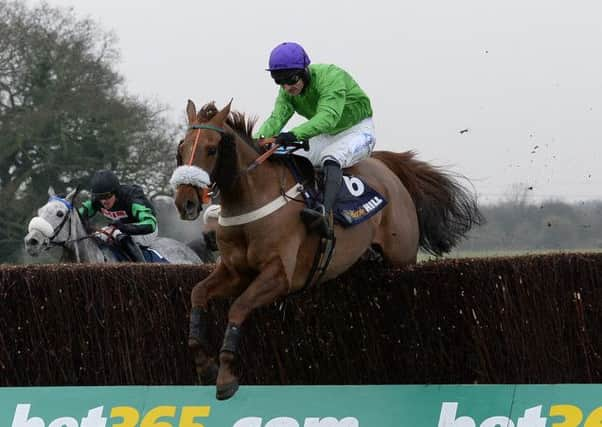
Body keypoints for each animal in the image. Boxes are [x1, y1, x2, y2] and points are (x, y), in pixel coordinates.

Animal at [171, 100, 480, 402]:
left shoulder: (280, 275)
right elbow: (197, 294)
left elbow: (237, 308)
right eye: (181, 148)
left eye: (212, 149)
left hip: (402, 256)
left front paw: (225, 378)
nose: (185, 203)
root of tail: (386, 166)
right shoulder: (235, 271)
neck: (251, 200)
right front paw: (205, 367)